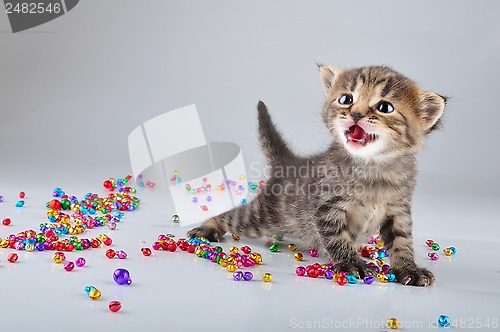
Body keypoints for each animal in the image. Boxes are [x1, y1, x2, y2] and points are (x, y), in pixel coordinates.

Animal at [188, 65, 446, 286]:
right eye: (346, 99)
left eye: (385, 107)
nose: (356, 114)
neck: (374, 167)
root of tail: (289, 164)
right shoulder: (326, 206)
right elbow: (336, 236)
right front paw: (351, 263)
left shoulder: (399, 209)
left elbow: (402, 240)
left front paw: (408, 268)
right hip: (264, 216)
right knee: (233, 217)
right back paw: (208, 227)